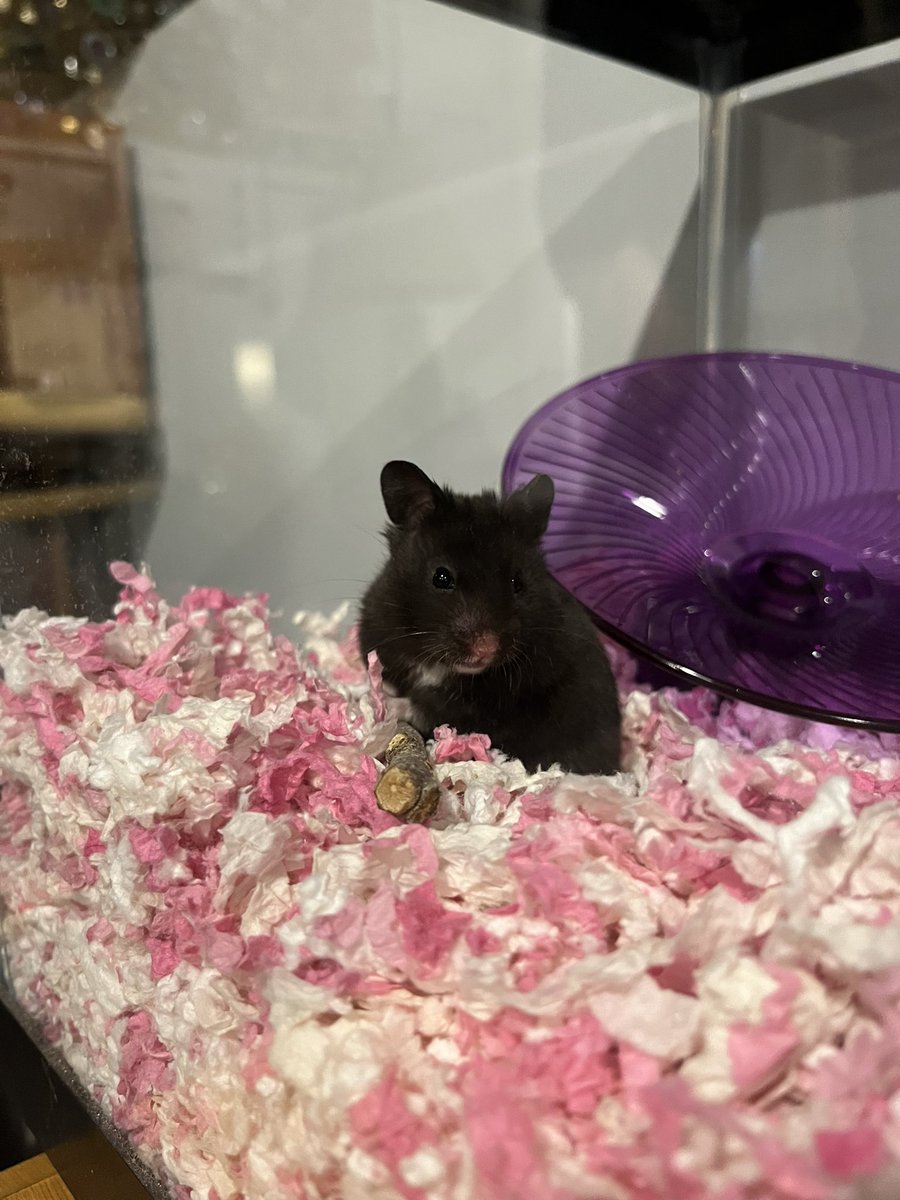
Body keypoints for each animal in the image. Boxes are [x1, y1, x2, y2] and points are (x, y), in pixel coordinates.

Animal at [358, 460, 621, 775]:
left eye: (517, 582)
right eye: (441, 577)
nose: (486, 648)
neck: (444, 666)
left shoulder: (484, 707)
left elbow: (430, 709)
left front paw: (385, 705)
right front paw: (370, 695)